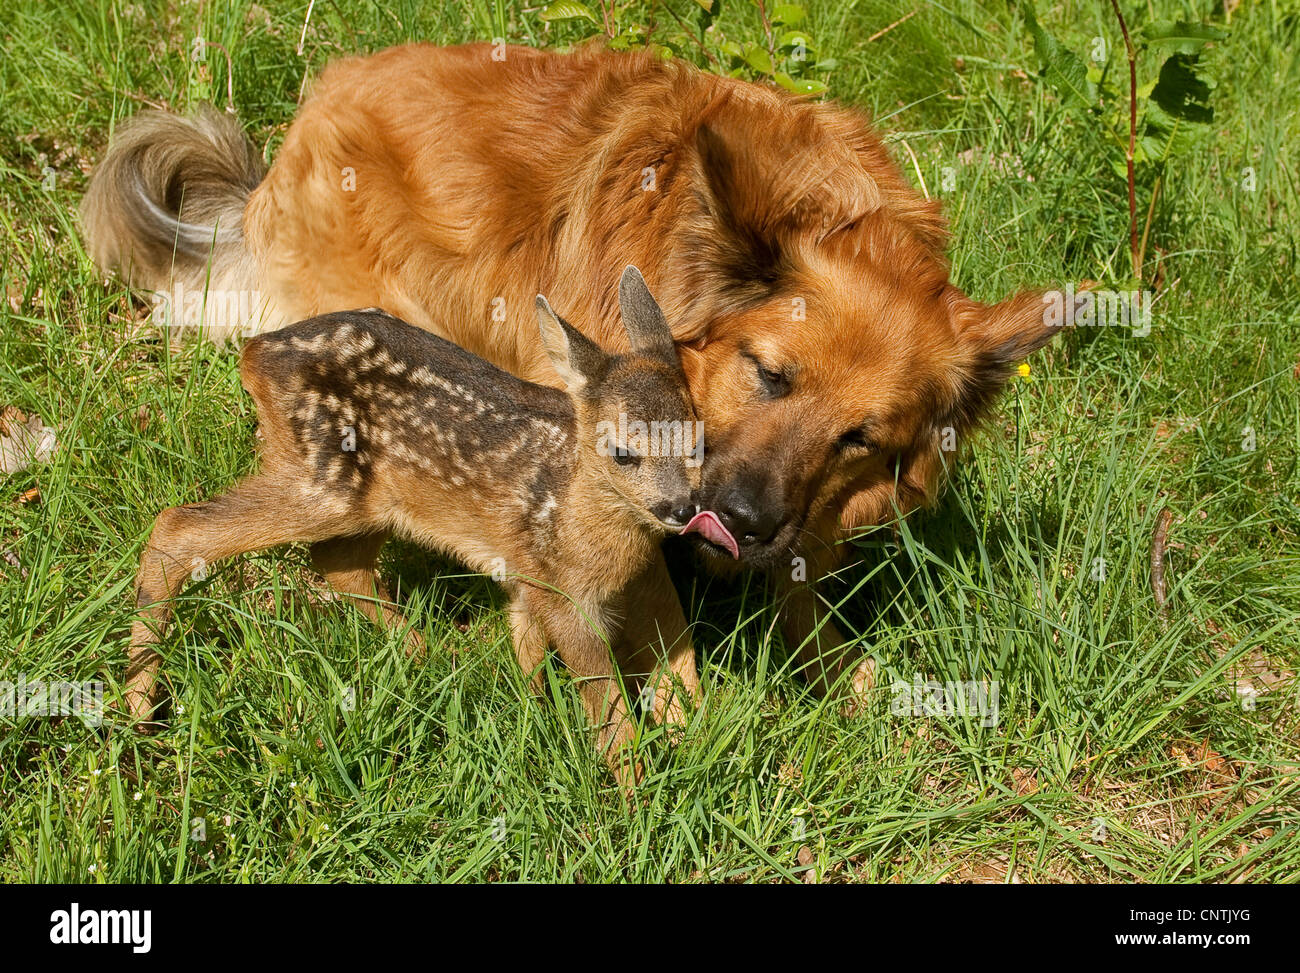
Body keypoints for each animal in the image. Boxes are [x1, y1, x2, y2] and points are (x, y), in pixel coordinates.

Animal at [81, 41, 1060, 707]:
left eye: (861, 437)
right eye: (767, 373)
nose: (742, 521)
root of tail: (299, 130)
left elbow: (796, 592)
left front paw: (844, 678)